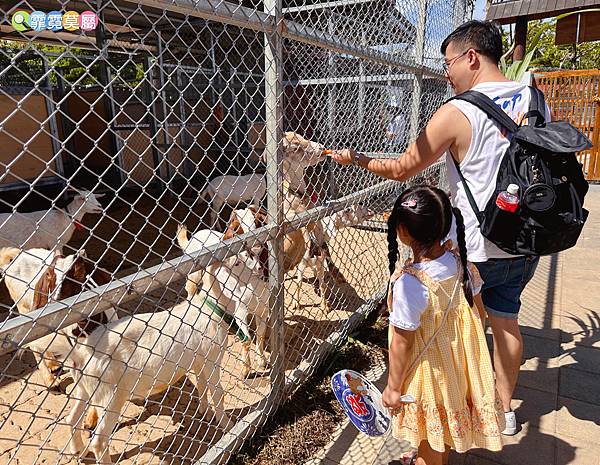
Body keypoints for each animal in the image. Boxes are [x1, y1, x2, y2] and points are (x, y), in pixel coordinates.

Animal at [64, 292, 231, 462]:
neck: (209, 308)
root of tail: (80, 355)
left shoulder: (199, 360)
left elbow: (202, 384)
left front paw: (205, 412)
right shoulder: (212, 357)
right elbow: (218, 392)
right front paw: (227, 426)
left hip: (85, 388)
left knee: (72, 418)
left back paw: (79, 451)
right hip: (108, 396)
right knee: (99, 441)